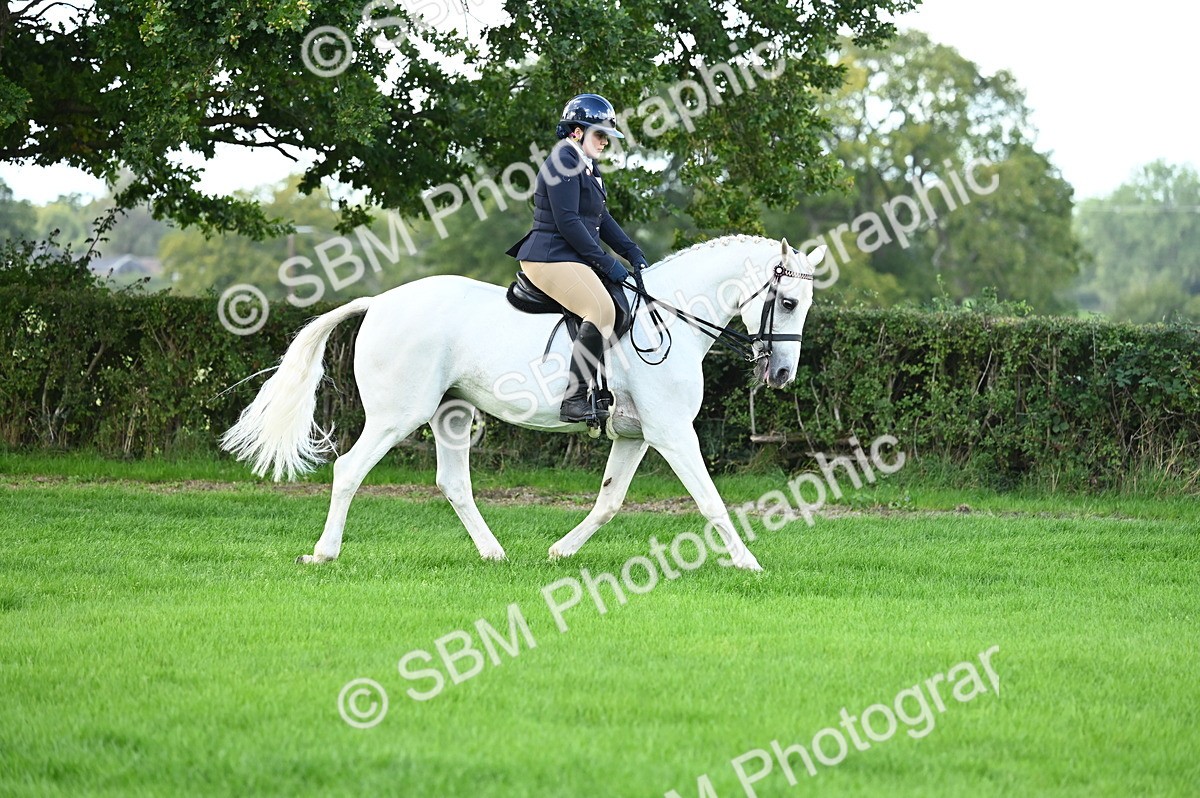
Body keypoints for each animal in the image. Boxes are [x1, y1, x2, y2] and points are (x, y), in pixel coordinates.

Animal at [221, 234, 826, 571]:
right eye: (787, 302)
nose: (781, 374)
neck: (669, 317)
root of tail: (381, 301)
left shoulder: (637, 435)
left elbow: (609, 502)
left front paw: (561, 552)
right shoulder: (674, 433)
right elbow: (712, 502)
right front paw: (749, 562)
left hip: (452, 413)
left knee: (454, 483)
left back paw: (493, 554)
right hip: (398, 415)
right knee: (348, 469)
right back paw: (324, 554)